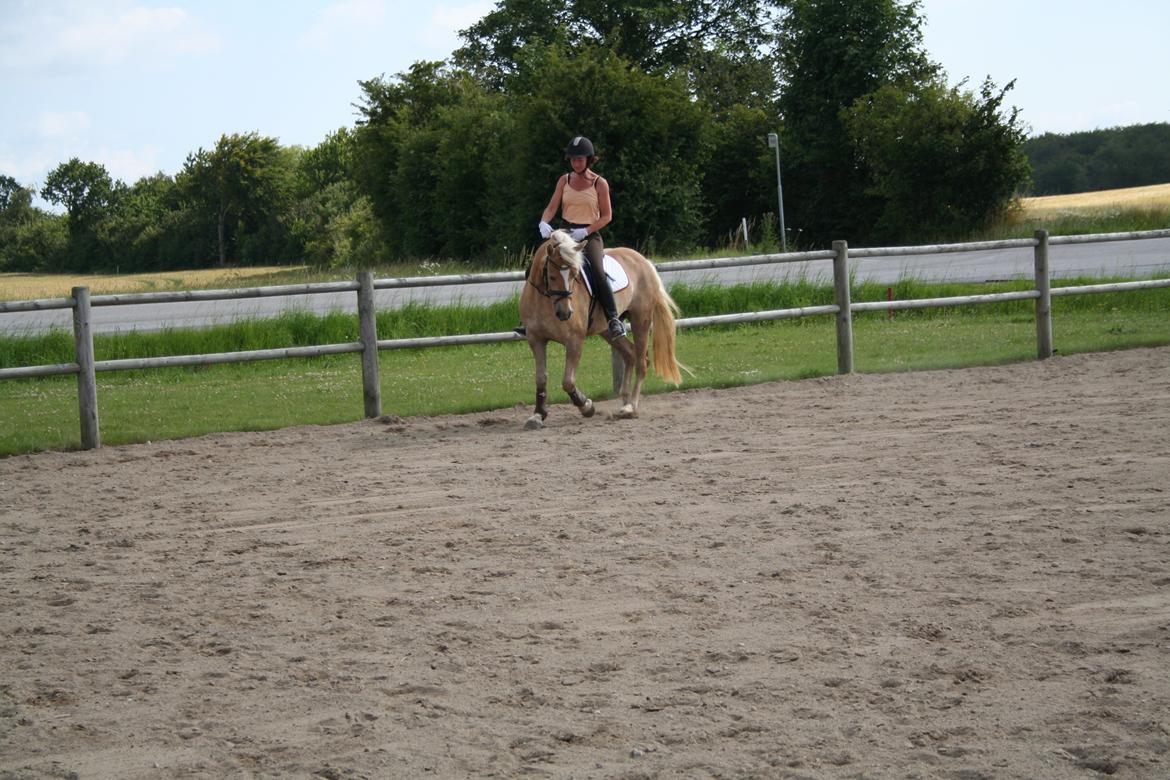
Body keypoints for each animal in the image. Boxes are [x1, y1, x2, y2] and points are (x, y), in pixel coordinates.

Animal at [519, 229, 683, 430]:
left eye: (574, 276)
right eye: (552, 276)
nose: (565, 313)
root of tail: (643, 261)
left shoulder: (574, 341)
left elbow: (568, 381)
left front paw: (586, 406)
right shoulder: (536, 339)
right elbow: (541, 378)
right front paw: (538, 415)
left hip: (641, 320)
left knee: (641, 362)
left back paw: (631, 407)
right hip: (608, 329)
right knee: (630, 354)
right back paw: (625, 402)